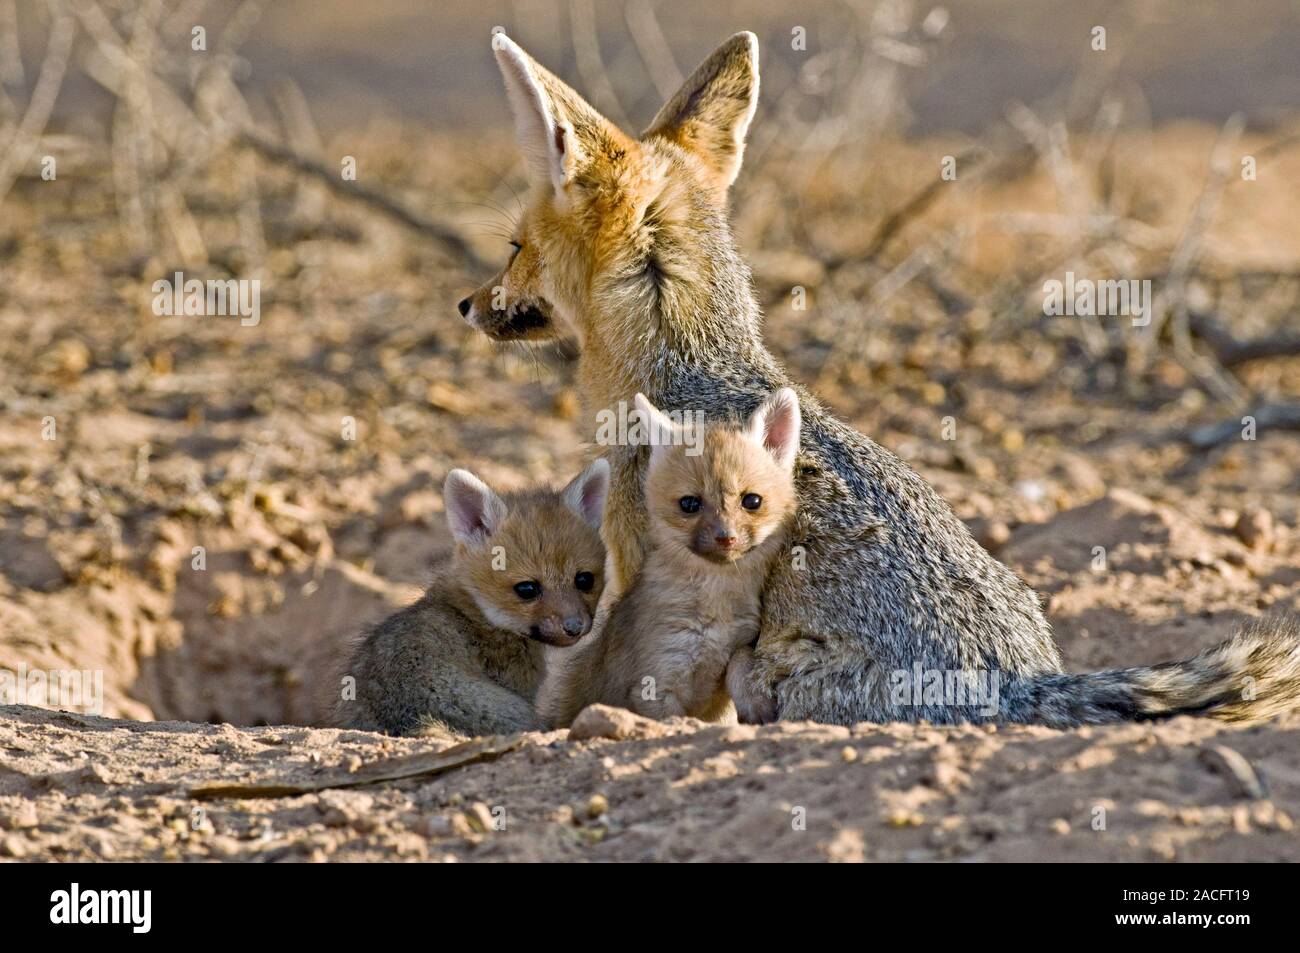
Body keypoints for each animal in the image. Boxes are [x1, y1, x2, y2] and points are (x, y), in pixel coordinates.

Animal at [543, 389, 800, 727]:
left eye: (752, 501)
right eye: (689, 504)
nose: (726, 537)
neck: (714, 614)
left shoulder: (741, 645)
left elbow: (740, 659)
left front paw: (754, 701)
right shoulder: (656, 685)